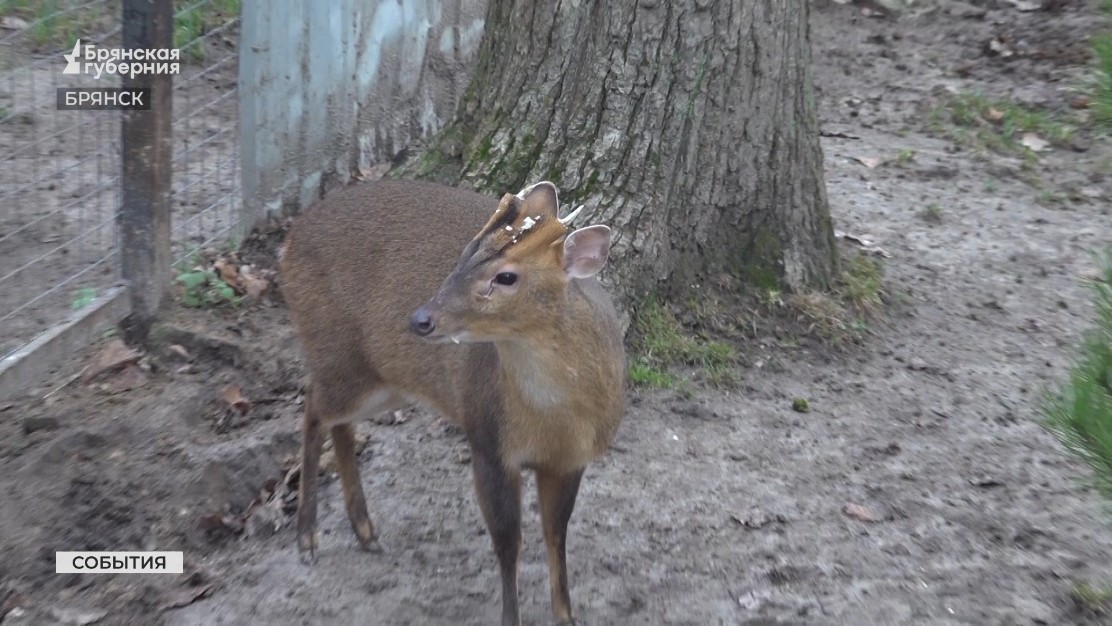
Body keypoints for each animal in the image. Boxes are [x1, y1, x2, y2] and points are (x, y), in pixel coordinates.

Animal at [278, 177, 627, 626]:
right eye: (464, 254)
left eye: (506, 276)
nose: (420, 319)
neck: (555, 420)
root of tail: (288, 241)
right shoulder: (487, 440)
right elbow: (508, 542)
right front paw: (511, 618)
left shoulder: (571, 459)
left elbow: (555, 533)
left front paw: (566, 616)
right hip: (340, 356)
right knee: (312, 411)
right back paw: (307, 539)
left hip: (384, 380)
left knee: (336, 422)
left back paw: (365, 531)